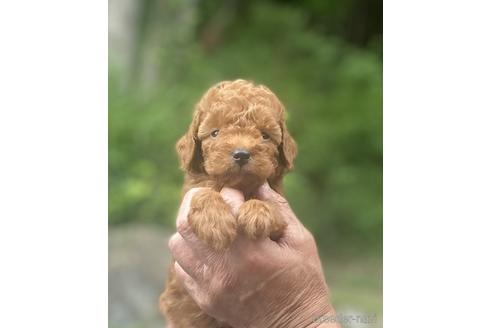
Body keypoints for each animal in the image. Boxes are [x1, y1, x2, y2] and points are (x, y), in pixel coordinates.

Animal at [160, 80, 296, 328]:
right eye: (215, 133)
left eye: (264, 136)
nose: (241, 154)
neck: (238, 185)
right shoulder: (194, 189)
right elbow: (204, 193)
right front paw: (216, 225)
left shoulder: (280, 212)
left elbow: (270, 207)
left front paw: (258, 213)